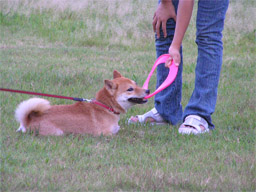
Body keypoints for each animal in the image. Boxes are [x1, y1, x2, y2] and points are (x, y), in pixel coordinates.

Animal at [15, 71, 150, 136]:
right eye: (130, 89)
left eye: (136, 83)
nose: (148, 90)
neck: (106, 107)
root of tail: (28, 120)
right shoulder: (105, 134)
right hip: (57, 133)